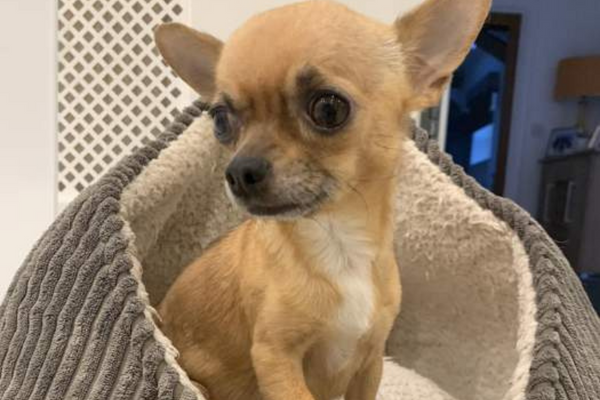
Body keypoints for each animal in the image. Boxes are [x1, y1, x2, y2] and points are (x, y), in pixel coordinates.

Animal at [157, 0, 490, 400]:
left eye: (329, 109)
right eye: (221, 121)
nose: (238, 171)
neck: (338, 242)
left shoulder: (370, 360)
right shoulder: (276, 358)